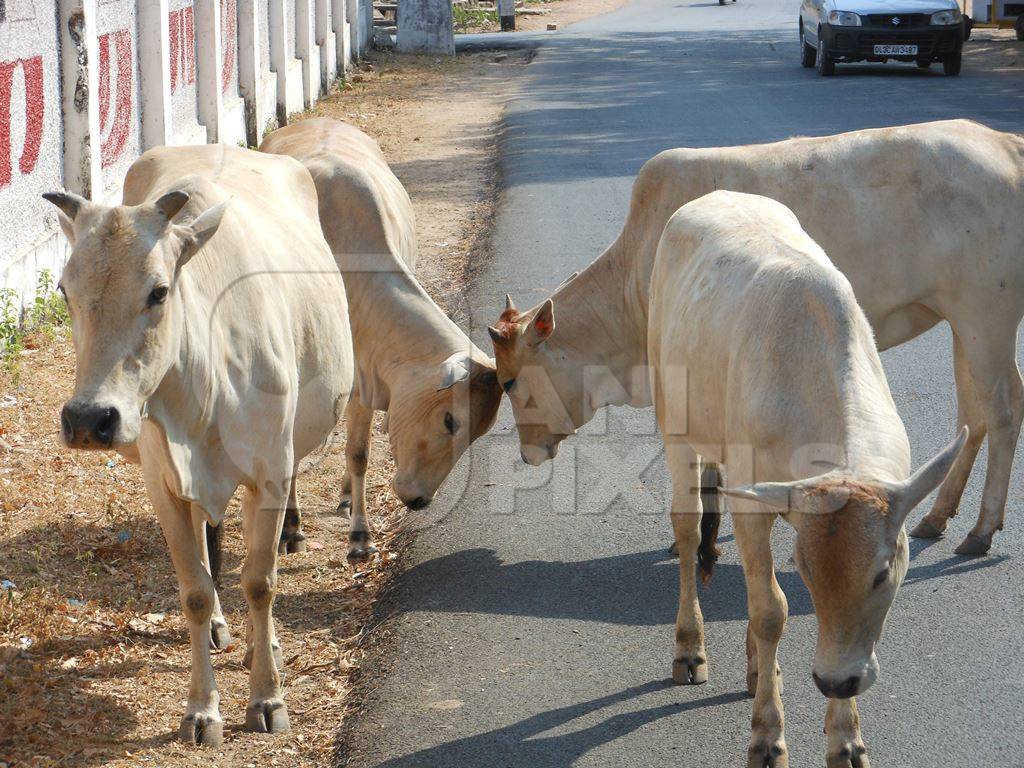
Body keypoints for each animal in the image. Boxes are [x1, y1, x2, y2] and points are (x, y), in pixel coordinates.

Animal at [45, 143, 356, 745]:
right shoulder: (163, 485)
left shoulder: (272, 472)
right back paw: (221, 627)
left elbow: (259, 581)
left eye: (159, 291)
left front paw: (267, 697)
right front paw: (202, 710)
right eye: (65, 290)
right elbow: (194, 590)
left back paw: (264, 643)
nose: (88, 419)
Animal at [258, 117, 501, 561]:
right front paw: (291, 528)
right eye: (450, 419)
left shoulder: (363, 384)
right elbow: (295, 452)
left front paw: (358, 533)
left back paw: (345, 496)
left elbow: (359, 454)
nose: (419, 501)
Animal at [487, 118, 1024, 552]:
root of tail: (1006, 143)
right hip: (964, 323)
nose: (527, 454)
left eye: (509, 382)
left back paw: (980, 530)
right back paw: (937, 517)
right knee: (974, 414)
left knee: (1000, 410)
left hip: (985, 316)